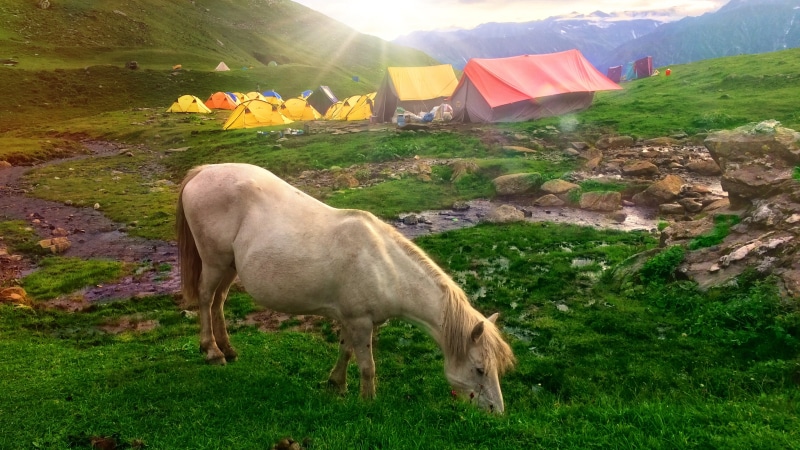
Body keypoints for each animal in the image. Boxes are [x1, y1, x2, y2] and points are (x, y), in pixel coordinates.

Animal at [176, 163, 515, 413]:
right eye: (480, 369)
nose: (497, 412)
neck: (384, 266)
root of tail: (203, 171)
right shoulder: (361, 321)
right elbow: (367, 364)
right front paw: (368, 402)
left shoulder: (353, 319)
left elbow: (346, 350)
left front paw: (336, 385)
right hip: (215, 262)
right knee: (205, 299)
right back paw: (212, 352)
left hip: (230, 266)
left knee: (218, 301)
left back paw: (228, 349)